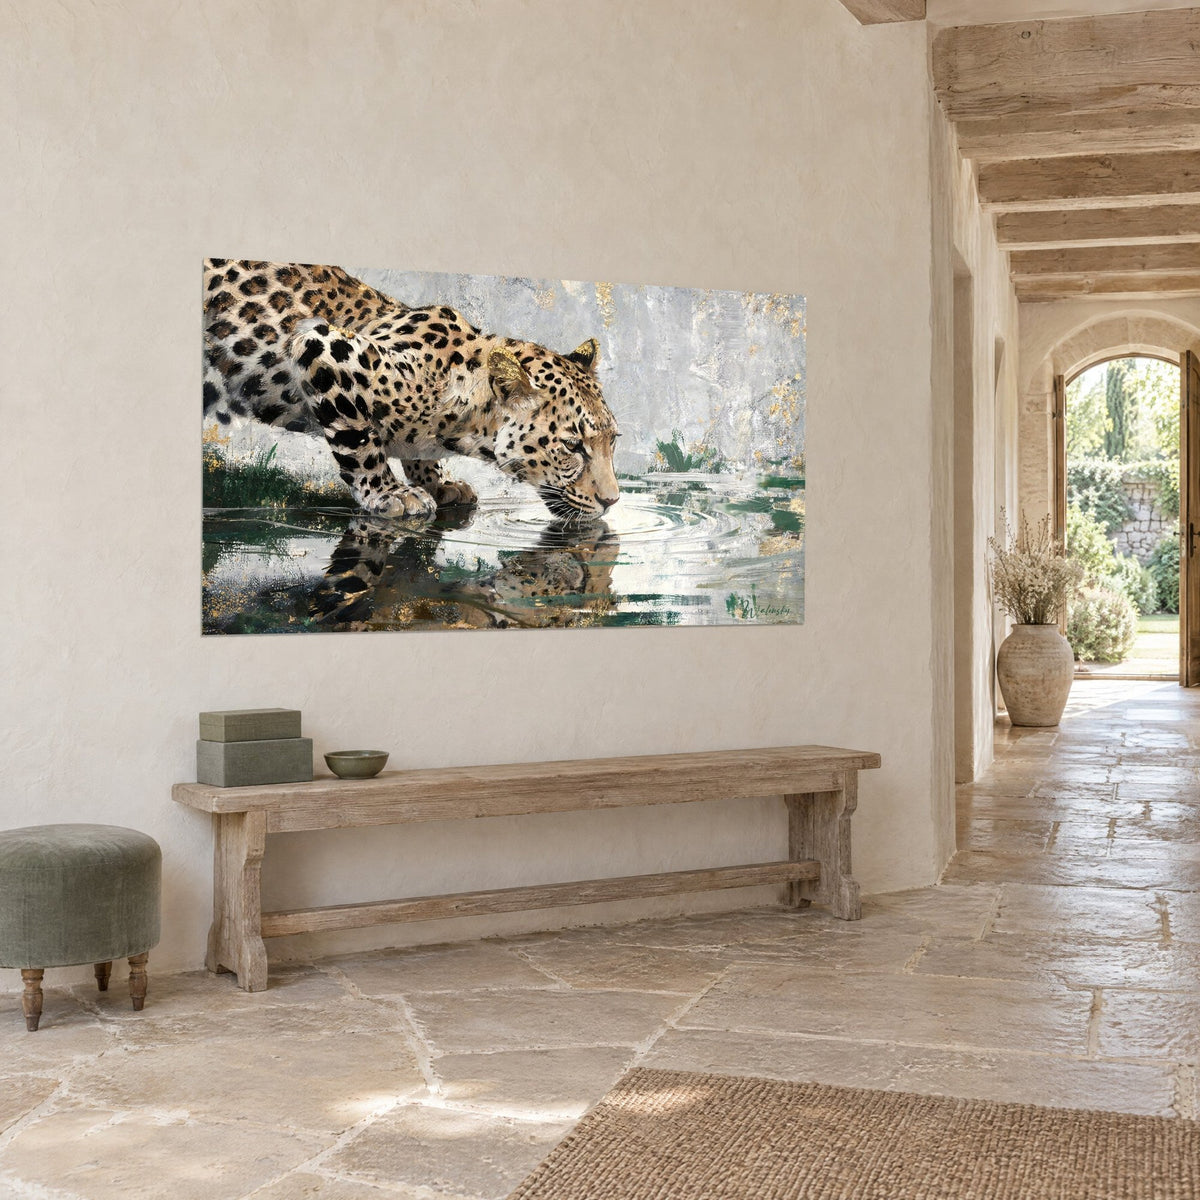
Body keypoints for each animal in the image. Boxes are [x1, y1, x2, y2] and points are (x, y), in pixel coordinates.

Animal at [203, 259, 621, 519]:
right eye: (572, 446)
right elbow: (361, 440)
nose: (613, 501)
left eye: (612, 441)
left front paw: (439, 482)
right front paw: (390, 493)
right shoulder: (322, 344)